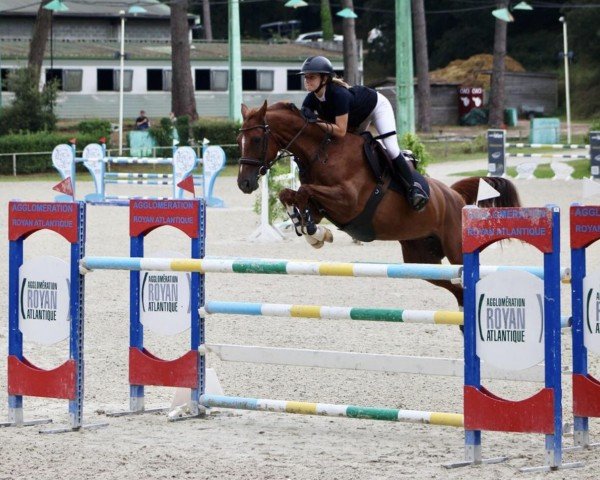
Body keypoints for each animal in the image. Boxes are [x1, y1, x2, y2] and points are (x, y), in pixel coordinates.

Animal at [236, 101, 520, 308]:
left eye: (257, 140)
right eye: (239, 141)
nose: (244, 183)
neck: (322, 153)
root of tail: (454, 195)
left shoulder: (349, 201)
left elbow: (304, 191)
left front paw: (313, 231)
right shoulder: (322, 205)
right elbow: (290, 195)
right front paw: (312, 231)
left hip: (455, 249)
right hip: (420, 260)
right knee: (455, 288)